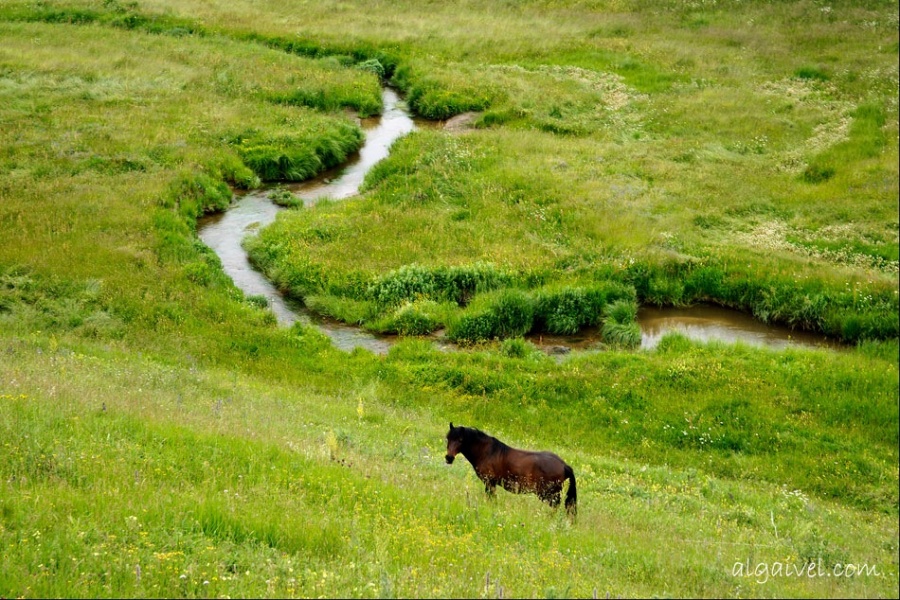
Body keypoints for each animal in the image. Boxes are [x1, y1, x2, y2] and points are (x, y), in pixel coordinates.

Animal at [442, 422, 576, 516]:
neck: (486, 452)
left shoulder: (489, 482)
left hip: (548, 494)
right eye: (448, 438)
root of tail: (564, 465)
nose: (449, 458)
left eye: (460, 440)